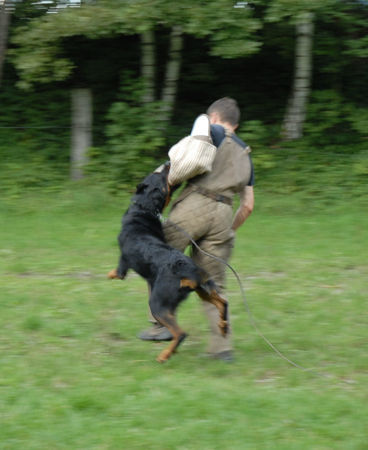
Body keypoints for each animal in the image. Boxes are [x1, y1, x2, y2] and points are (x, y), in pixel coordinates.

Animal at [107, 163, 227, 364]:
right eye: (161, 175)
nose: (168, 163)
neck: (144, 209)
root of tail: (189, 270)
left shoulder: (123, 263)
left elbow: (115, 273)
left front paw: (109, 275)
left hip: (158, 304)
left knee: (180, 333)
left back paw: (164, 355)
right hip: (203, 288)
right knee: (222, 302)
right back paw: (223, 326)